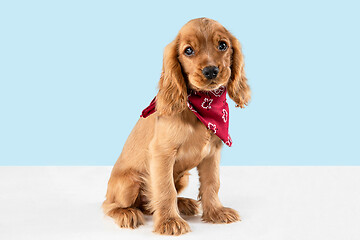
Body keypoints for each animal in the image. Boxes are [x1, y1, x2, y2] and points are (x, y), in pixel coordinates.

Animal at [102, 17, 250, 235]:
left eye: (223, 45)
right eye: (188, 50)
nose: (211, 71)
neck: (203, 107)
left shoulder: (212, 153)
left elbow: (212, 183)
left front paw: (216, 212)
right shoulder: (162, 153)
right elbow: (165, 190)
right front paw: (169, 221)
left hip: (183, 177)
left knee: (148, 204)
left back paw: (183, 204)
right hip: (129, 182)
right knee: (110, 205)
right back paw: (126, 213)